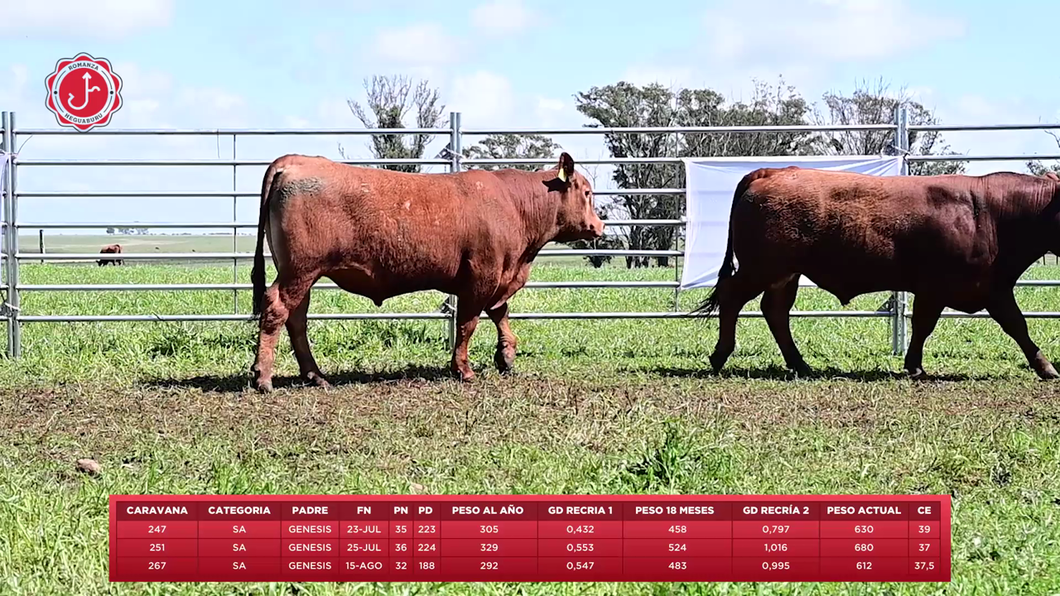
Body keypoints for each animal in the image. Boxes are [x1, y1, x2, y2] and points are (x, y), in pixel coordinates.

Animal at [246, 150, 606, 390]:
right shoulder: (482, 276)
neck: (515, 205)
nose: (600, 226)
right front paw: (463, 369)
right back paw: (263, 377)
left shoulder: (499, 277)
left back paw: (315, 375)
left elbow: (500, 313)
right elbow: (468, 324)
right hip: (300, 270)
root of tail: (294, 160)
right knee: (277, 309)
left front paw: (506, 357)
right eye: (588, 192)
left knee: (297, 318)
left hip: (301, 274)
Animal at [691, 165, 1060, 379]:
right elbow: (1014, 325)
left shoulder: (985, 288)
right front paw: (1047, 368)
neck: (991, 213)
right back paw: (720, 355)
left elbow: (1010, 324)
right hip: (761, 267)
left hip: (784, 275)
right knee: (732, 297)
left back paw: (800, 364)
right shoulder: (954, 288)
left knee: (775, 312)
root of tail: (771, 171)